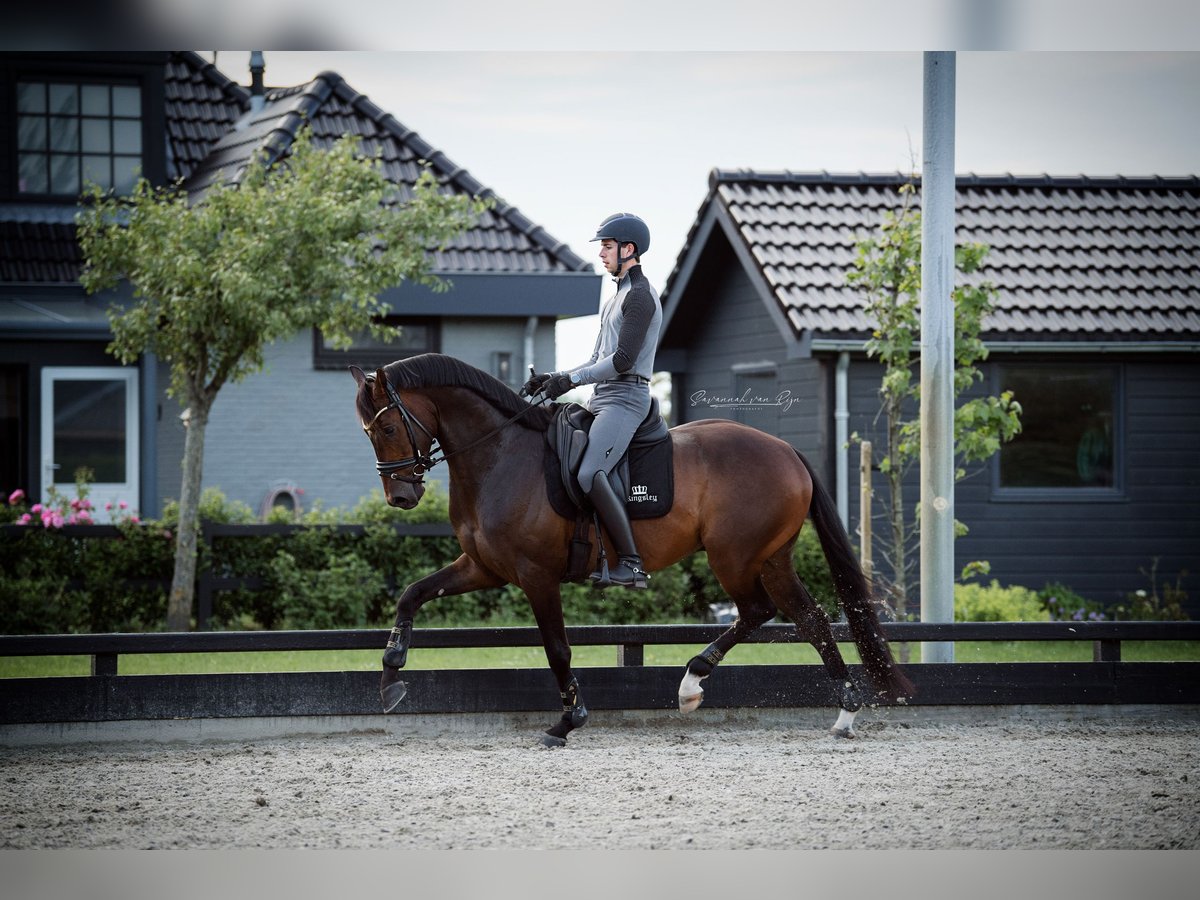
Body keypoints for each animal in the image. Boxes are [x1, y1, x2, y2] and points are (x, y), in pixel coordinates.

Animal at [351, 353, 913, 747]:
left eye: (387, 426)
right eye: (368, 432)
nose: (401, 497)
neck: (498, 454)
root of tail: (785, 450)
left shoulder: (535, 575)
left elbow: (557, 648)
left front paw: (567, 722)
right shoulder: (483, 567)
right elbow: (411, 593)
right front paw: (391, 674)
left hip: (734, 556)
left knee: (759, 610)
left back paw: (693, 682)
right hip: (770, 558)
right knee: (808, 617)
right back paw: (842, 712)